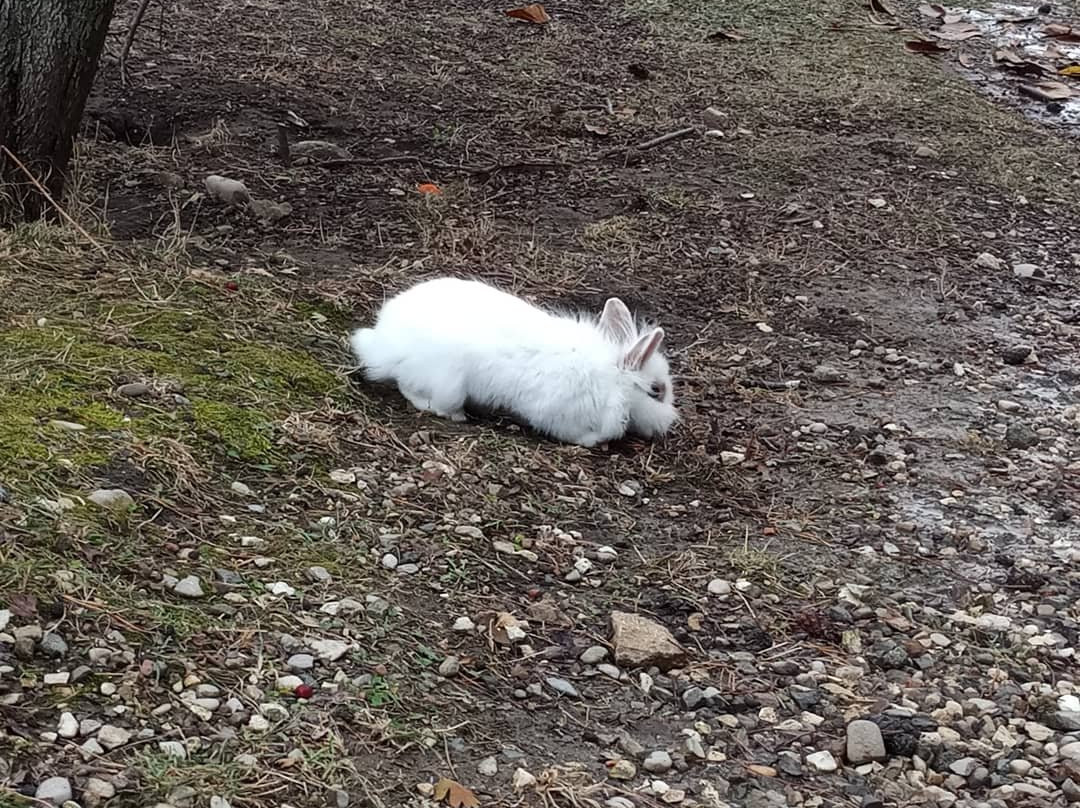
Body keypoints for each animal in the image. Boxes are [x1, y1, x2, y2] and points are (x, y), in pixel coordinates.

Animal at [352, 276, 673, 442]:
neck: (613, 378)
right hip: (447, 383)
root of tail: (382, 342)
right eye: (656, 391)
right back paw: (457, 415)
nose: (669, 423)